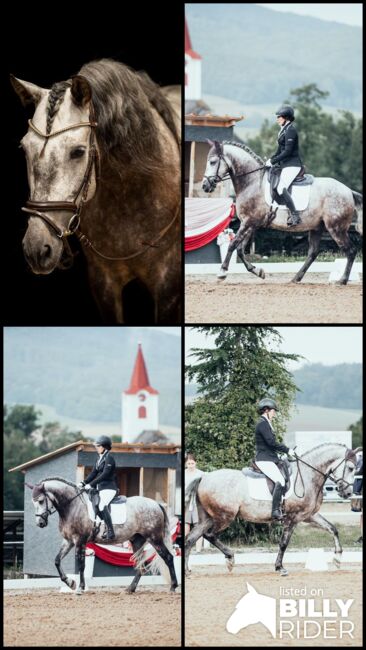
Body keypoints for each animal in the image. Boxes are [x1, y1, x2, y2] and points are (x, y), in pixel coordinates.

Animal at [26, 476, 178, 592]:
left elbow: (81, 565)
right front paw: (70, 583)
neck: (72, 506)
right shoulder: (68, 541)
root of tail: (156, 504)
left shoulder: (80, 540)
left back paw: (173, 586)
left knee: (168, 558)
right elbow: (57, 560)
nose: (40, 523)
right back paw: (130, 589)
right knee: (141, 566)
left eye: (41, 501)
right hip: (137, 540)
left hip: (154, 538)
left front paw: (80, 587)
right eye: (33, 502)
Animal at [184, 442, 356, 576]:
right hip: (224, 516)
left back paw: (187, 570)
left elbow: (332, 528)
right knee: (209, 535)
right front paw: (280, 568)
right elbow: (283, 543)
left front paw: (338, 559)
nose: (348, 493)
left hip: (209, 517)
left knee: (191, 538)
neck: (308, 476)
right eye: (351, 468)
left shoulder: (309, 516)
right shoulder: (292, 518)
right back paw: (230, 559)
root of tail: (204, 477)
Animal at [203, 142, 364, 284]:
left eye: (212, 162)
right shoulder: (250, 223)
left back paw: (342, 280)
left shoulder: (248, 222)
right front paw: (258, 271)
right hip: (317, 227)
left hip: (336, 228)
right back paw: (296, 278)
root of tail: (348, 191)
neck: (252, 183)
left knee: (350, 251)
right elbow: (240, 249)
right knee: (313, 253)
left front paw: (222, 273)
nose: (205, 186)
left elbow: (233, 245)